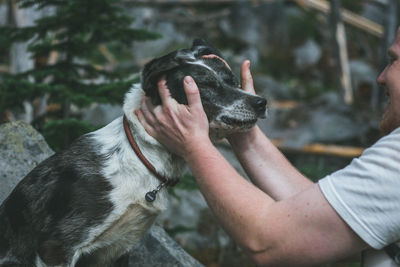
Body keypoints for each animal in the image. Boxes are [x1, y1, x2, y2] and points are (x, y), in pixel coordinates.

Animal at [0, 38, 268, 266]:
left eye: (233, 80)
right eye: (205, 86)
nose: (261, 102)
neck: (142, 156)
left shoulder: (117, 250)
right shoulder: (57, 246)